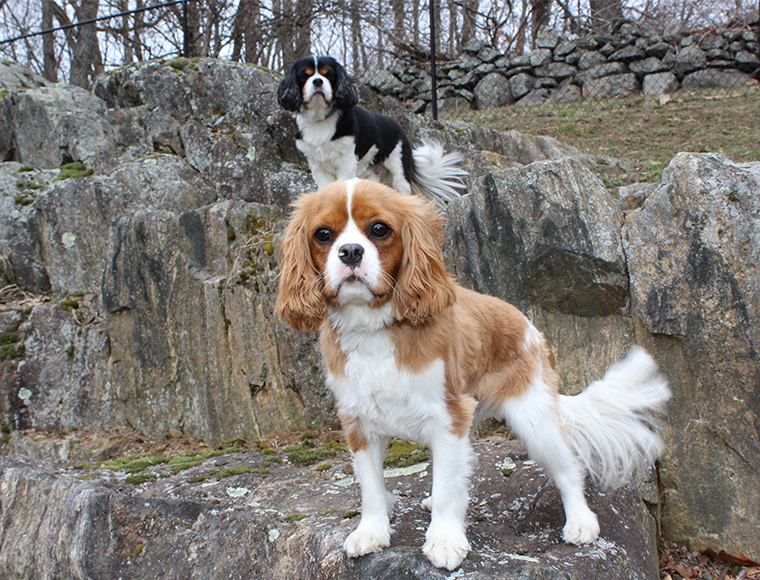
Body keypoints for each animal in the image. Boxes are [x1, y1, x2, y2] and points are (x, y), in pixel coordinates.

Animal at [274, 179, 672, 568]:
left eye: (379, 229)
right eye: (323, 234)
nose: (351, 252)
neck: (374, 326)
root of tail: (532, 328)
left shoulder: (449, 416)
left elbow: (449, 488)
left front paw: (445, 539)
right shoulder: (358, 423)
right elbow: (371, 486)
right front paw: (371, 531)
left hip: (533, 418)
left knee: (568, 468)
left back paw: (580, 522)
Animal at [276, 56, 466, 202]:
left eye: (328, 75)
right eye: (304, 76)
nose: (317, 81)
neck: (320, 119)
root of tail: (400, 127)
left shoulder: (346, 161)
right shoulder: (317, 165)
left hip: (399, 168)